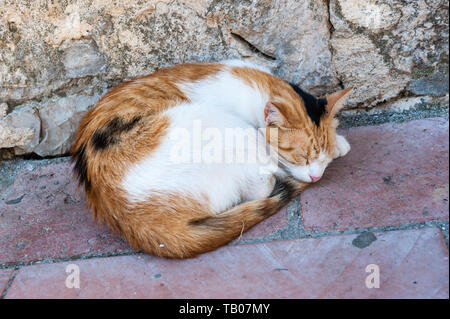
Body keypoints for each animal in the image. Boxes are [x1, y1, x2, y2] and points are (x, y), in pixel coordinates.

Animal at [70, 60, 354, 258]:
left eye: (325, 159)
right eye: (300, 157)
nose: (316, 176)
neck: (258, 83)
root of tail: (134, 221)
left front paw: (340, 144)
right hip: (224, 127)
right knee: (259, 189)